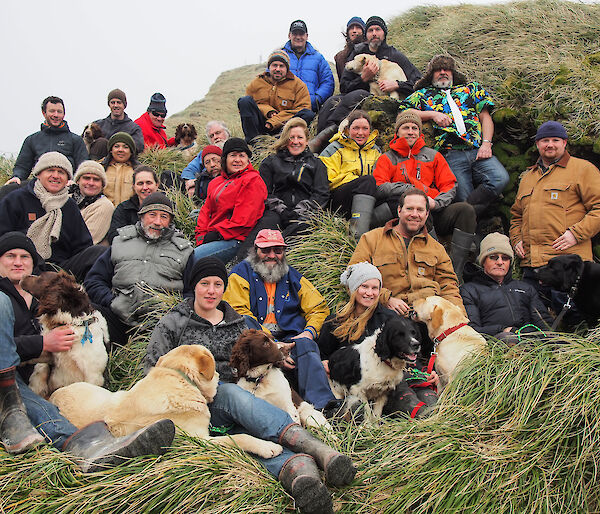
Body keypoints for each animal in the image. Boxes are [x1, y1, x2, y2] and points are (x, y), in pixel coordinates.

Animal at [50, 344, 282, 456]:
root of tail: (53, 395)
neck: (180, 379)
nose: (223, 375)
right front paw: (267, 447)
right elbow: (240, 438)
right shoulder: (198, 440)